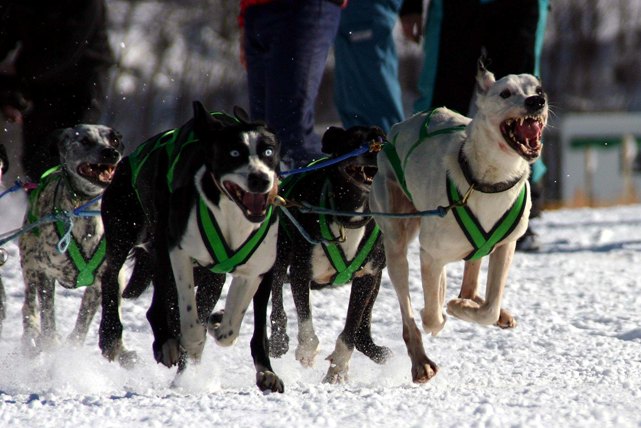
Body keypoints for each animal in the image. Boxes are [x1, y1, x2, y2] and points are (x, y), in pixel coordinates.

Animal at [19, 124, 123, 354]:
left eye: (114, 140)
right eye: (85, 140)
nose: (111, 152)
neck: (86, 210)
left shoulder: (101, 283)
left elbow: (83, 324)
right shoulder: (46, 272)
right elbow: (48, 314)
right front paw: (50, 342)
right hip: (29, 261)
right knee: (29, 304)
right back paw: (31, 334)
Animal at [97, 100, 282, 392]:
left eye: (268, 151)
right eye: (234, 153)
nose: (260, 179)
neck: (233, 217)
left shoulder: (258, 270)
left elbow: (236, 328)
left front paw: (264, 369)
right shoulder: (180, 253)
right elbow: (189, 320)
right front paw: (191, 342)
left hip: (204, 274)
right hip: (127, 232)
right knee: (113, 277)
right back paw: (120, 337)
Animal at [258, 125, 390, 382]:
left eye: (382, 136)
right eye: (354, 138)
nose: (376, 146)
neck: (349, 218)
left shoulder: (367, 277)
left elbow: (351, 328)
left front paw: (338, 368)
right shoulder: (300, 272)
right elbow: (306, 322)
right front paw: (307, 351)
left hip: (377, 277)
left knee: (363, 328)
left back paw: (375, 349)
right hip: (280, 254)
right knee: (277, 295)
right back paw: (279, 340)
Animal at [370, 58, 544, 382]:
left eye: (538, 90)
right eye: (505, 93)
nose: (536, 102)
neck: (487, 182)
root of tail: (399, 127)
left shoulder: (506, 245)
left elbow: (489, 305)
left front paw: (467, 307)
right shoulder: (430, 254)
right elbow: (432, 315)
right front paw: (446, 308)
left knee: (472, 281)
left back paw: (473, 303)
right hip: (396, 241)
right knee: (410, 313)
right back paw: (420, 360)